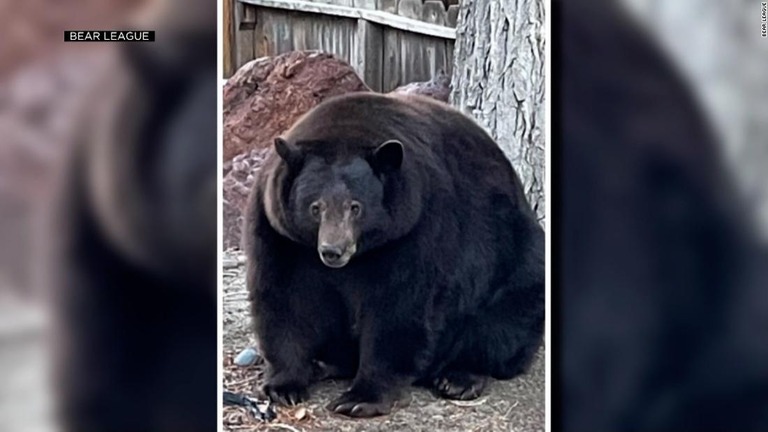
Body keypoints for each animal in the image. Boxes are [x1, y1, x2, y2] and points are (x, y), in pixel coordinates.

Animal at [246, 92, 544, 418]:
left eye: (355, 207)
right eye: (315, 207)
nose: (333, 251)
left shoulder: (416, 228)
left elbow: (399, 308)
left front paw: (359, 398)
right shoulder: (280, 233)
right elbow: (285, 297)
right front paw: (285, 386)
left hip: (513, 260)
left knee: (503, 322)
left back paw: (459, 377)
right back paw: (324, 363)